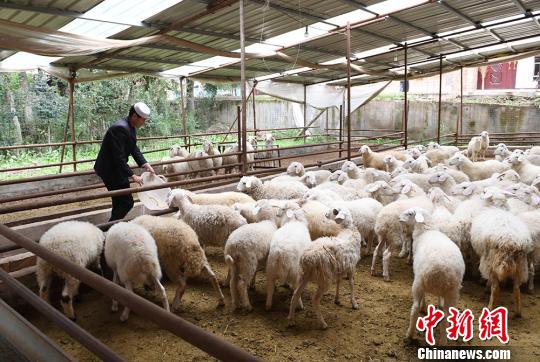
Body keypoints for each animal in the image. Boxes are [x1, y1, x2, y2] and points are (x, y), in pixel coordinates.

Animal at [398, 206, 466, 342]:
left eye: (410, 213)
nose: (398, 218)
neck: (426, 230)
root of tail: (441, 270)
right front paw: (439, 303)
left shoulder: (418, 276)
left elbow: (423, 299)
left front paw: (424, 307)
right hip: (453, 292)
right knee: (447, 315)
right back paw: (444, 341)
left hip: (419, 283)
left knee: (415, 309)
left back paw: (409, 334)